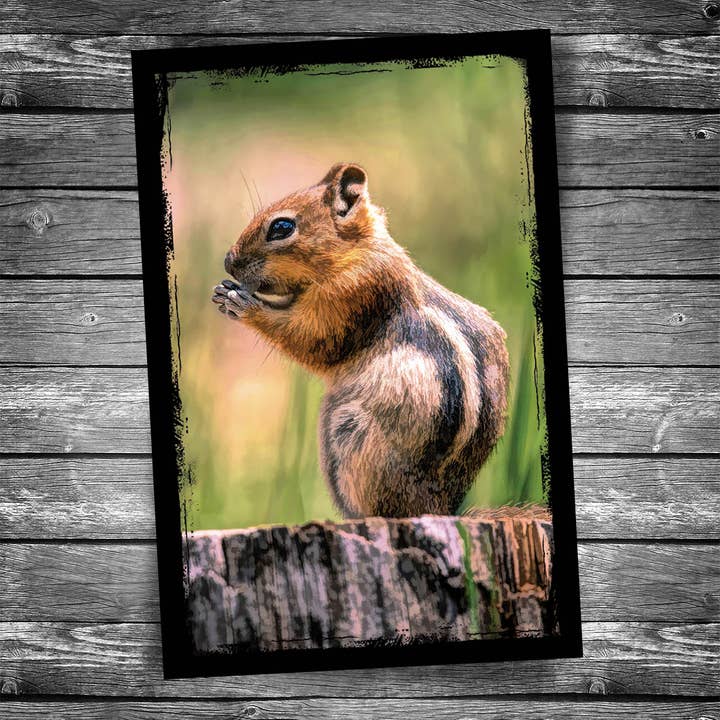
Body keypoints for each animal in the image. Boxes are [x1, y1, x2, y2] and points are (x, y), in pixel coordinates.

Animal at [212, 163, 509, 518]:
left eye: (282, 227)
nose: (228, 262)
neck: (357, 251)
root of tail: (437, 508)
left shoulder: (352, 295)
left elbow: (310, 339)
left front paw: (242, 304)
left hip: (349, 435)